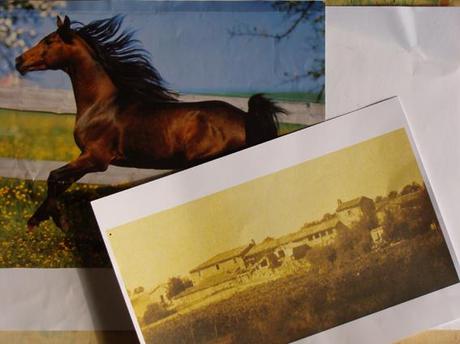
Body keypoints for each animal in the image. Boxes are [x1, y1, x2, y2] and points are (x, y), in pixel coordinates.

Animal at [16, 16, 286, 231]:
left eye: (49, 41)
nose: (19, 60)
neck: (101, 105)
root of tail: (246, 117)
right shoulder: (86, 158)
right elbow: (60, 182)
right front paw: (40, 220)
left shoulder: (96, 158)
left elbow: (53, 176)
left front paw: (56, 222)